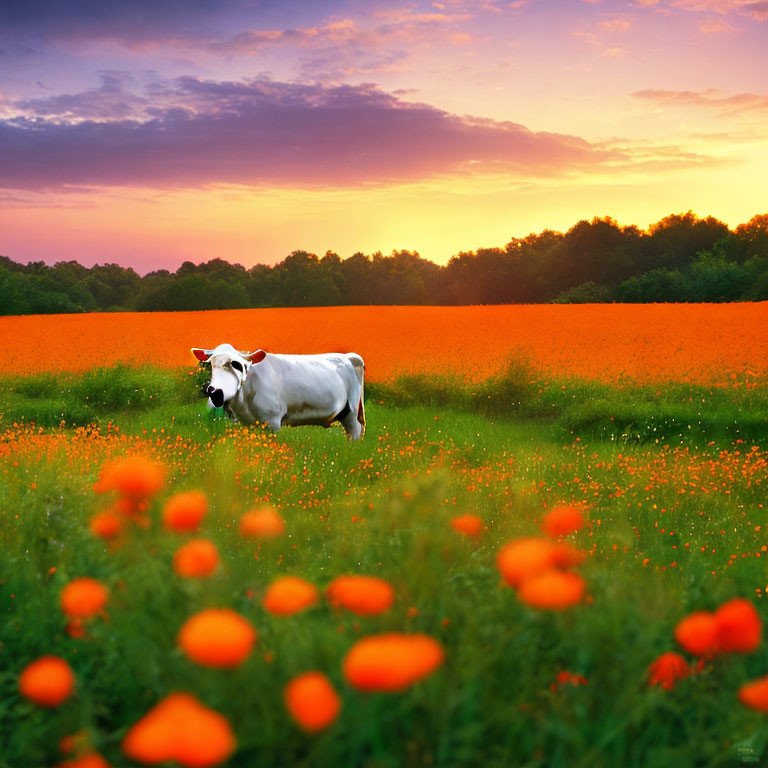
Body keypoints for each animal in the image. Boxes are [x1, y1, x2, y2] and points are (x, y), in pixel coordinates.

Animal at [191, 344, 366, 440]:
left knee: (355, 431)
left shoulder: (272, 422)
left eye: (236, 364)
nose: (214, 391)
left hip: (351, 411)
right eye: (210, 364)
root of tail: (348, 357)